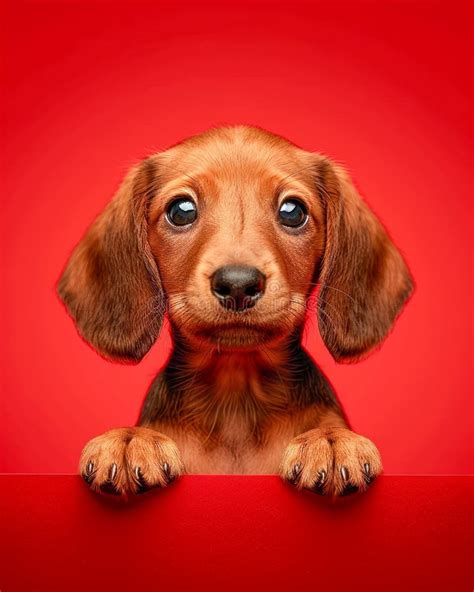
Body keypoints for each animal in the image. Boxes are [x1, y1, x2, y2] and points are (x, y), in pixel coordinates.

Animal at [58, 125, 412, 494]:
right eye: (181, 210)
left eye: (293, 211)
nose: (238, 284)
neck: (236, 395)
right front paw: (129, 439)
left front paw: (331, 439)